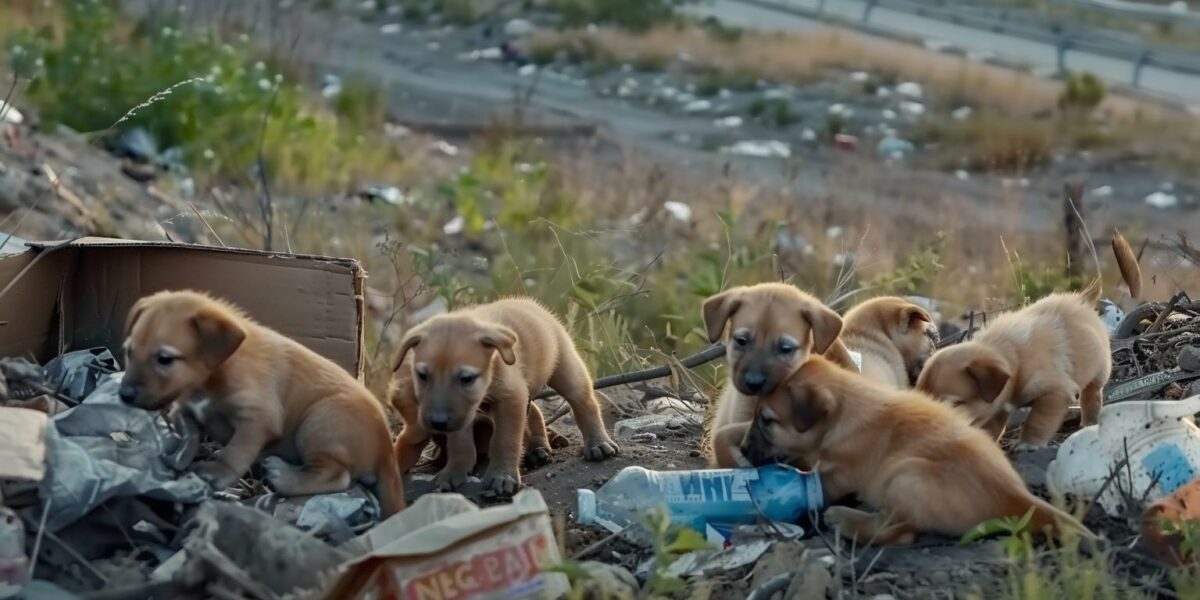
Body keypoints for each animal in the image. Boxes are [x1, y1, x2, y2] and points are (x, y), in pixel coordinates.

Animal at [118, 290, 405, 516]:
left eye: (164, 359)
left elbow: (234, 451)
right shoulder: (184, 407)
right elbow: (190, 433)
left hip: (321, 419)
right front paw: (178, 457)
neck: (216, 373)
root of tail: (387, 449)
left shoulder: (258, 419)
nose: (124, 395)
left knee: (338, 475)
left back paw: (283, 475)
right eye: (129, 351)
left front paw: (215, 472)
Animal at [391, 296, 624, 496]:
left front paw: (502, 476)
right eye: (422, 376)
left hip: (567, 370)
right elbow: (460, 444)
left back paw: (598, 444)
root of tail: (530, 304)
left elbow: (505, 440)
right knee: (535, 411)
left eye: (466, 378)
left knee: (584, 403)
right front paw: (454, 472)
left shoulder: (510, 399)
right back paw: (538, 448)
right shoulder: (463, 413)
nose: (437, 422)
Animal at [739, 357, 1089, 547]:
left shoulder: (837, 475)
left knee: (900, 532)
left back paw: (847, 520)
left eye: (766, 420)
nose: (742, 449)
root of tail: (1016, 495)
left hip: (904, 477)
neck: (846, 409)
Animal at [916, 232, 1142, 446]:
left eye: (952, 404)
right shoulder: (999, 407)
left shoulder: (1057, 391)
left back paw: (1089, 422)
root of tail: (1080, 298)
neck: (1012, 356)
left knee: (1092, 396)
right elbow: (992, 427)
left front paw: (1028, 443)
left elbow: (1038, 421)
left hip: (1098, 372)